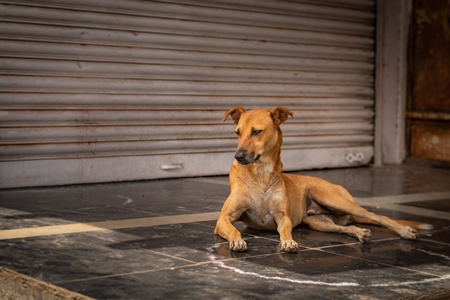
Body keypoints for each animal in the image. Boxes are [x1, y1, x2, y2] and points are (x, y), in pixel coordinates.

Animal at [216, 106, 424, 252]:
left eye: (256, 131)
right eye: (237, 132)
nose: (238, 156)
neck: (260, 173)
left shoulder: (282, 216)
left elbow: (285, 230)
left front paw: (289, 241)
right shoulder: (223, 219)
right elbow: (233, 229)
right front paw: (237, 240)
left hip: (334, 199)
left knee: (378, 216)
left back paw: (404, 231)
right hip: (318, 222)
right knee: (343, 228)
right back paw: (359, 233)